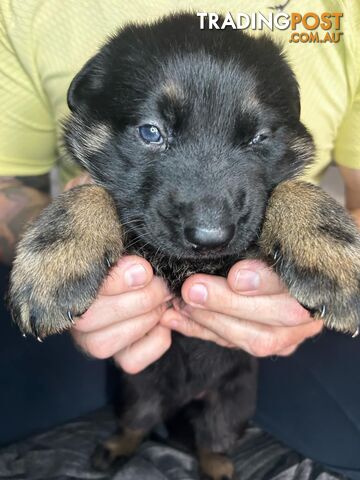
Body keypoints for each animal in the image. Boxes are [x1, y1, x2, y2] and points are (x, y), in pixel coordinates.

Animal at [8, 12, 360, 480]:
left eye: (259, 138)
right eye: (151, 132)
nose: (210, 238)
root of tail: (179, 403)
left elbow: (290, 187)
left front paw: (330, 256)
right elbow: (93, 192)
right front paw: (55, 262)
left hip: (231, 404)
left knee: (213, 443)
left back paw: (218, 469)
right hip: (136, 389)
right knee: (137, 424)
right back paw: (114, 450)